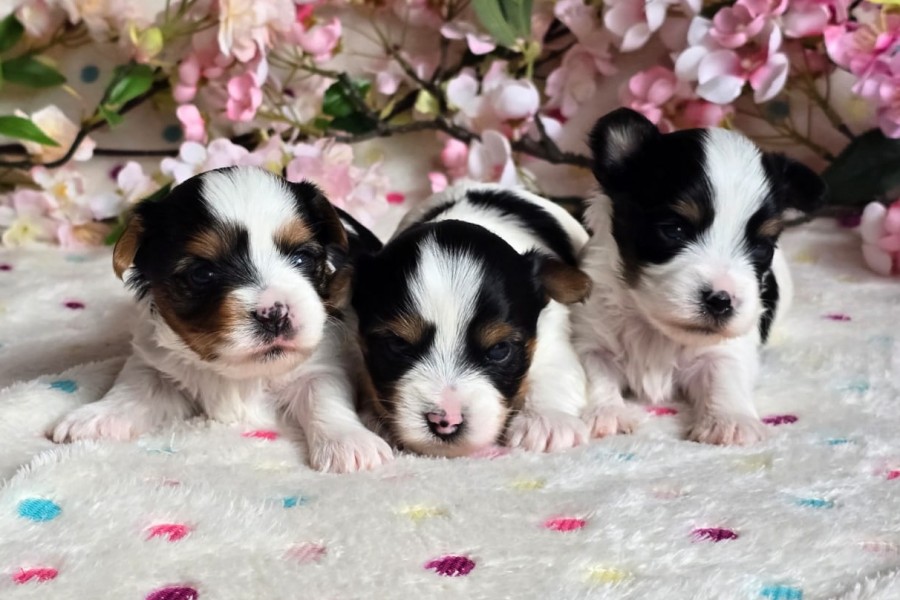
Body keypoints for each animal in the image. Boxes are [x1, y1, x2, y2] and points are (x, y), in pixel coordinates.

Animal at [50, 167, 393, 472]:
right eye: (203, 274)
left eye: (302, 258)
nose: (275, 314)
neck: (238, 373)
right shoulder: (154, 362)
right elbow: (133, 387)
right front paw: (96, 416)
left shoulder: (322, 362)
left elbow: (326, 396)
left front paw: (350, 443)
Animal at [352, 183, 593, 457]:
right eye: (397, 344)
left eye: (499, 350)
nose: (445, 422)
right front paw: (374, 419)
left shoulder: (551, 329)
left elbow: (556, 368)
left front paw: (547, 421)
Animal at [571, 108, 826, 445]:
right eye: (674, 230)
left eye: (761, 246)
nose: (721, 301)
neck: (656, 331)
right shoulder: (591, 335)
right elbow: (595, 371)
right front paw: (607, 413)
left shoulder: (727, 350)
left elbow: (724, 377)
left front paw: (731, 420)